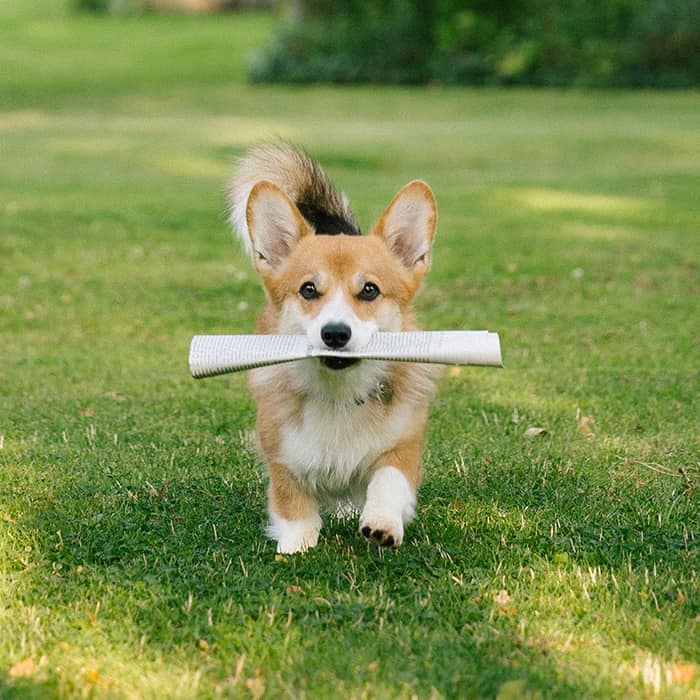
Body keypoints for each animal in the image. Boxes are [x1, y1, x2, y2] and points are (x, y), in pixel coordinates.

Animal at [228, 145, 438, 556]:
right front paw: (296, 547)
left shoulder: (404, 445)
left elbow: (389, 480)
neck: (338, 393)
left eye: (370, 290)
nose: (336, 334)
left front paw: (382, 523)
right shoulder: (283, 457)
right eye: (308, 290)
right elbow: (294, 506)